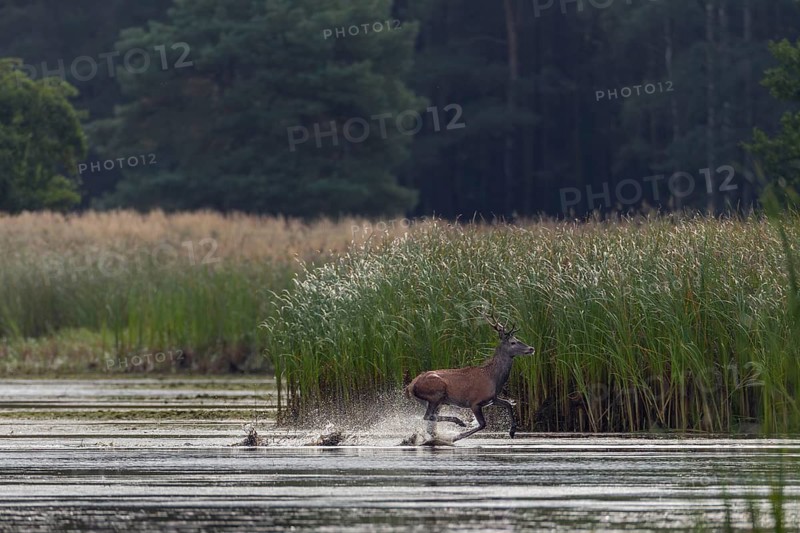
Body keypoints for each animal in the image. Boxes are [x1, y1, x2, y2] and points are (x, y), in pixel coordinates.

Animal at [405, 314, 535, 443]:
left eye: (518, 339)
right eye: (513, 342)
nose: (531, 348)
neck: (493, 378)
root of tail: (410, 386)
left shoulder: (491, 399)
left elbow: (508, 404)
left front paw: (512, 431)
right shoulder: (475, 402)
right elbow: (483, 424)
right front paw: (456, 436)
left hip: (430, 401)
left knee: (431, 423)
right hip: (436, 393)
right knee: (428, 416)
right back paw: (459, 423)